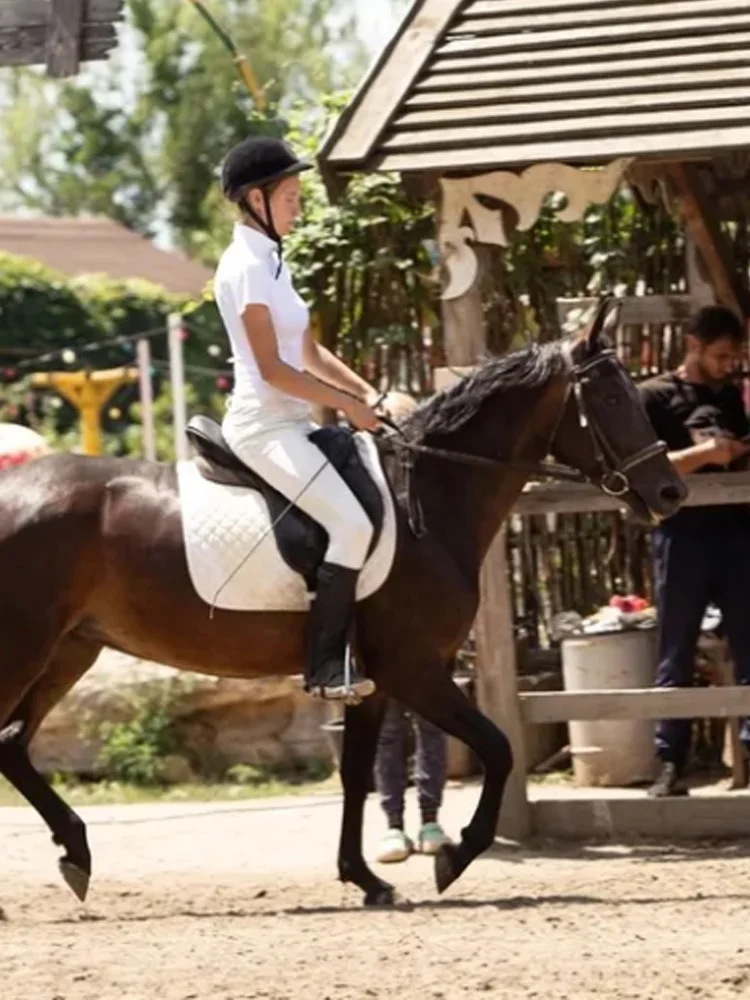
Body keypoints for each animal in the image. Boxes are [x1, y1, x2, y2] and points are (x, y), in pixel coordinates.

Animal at [0, 298, 688, 908]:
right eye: (609, 398)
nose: (671, 493)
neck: (429, 500)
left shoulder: (373, 679)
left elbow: (359, 773)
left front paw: (366, 878)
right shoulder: (414, 669)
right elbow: (498, 749)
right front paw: (454, 856)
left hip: (70, 651)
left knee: (11, 743)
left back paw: (76, 854)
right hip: (27, 650)